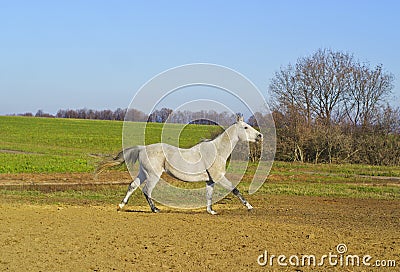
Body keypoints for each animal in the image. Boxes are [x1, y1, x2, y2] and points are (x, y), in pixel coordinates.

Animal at [95, 115, 264, 215]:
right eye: (245, 127)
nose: (260, 136)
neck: (217, 151)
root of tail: (142, 148)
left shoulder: (210, 180)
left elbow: (209, 196)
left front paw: (211, 211)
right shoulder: (219, 177)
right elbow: (235, 190)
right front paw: (249, 207)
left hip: (144, 173)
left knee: (132, 186)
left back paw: (121, 206)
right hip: (153, 175)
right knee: (146, 190)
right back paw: (155, 209)